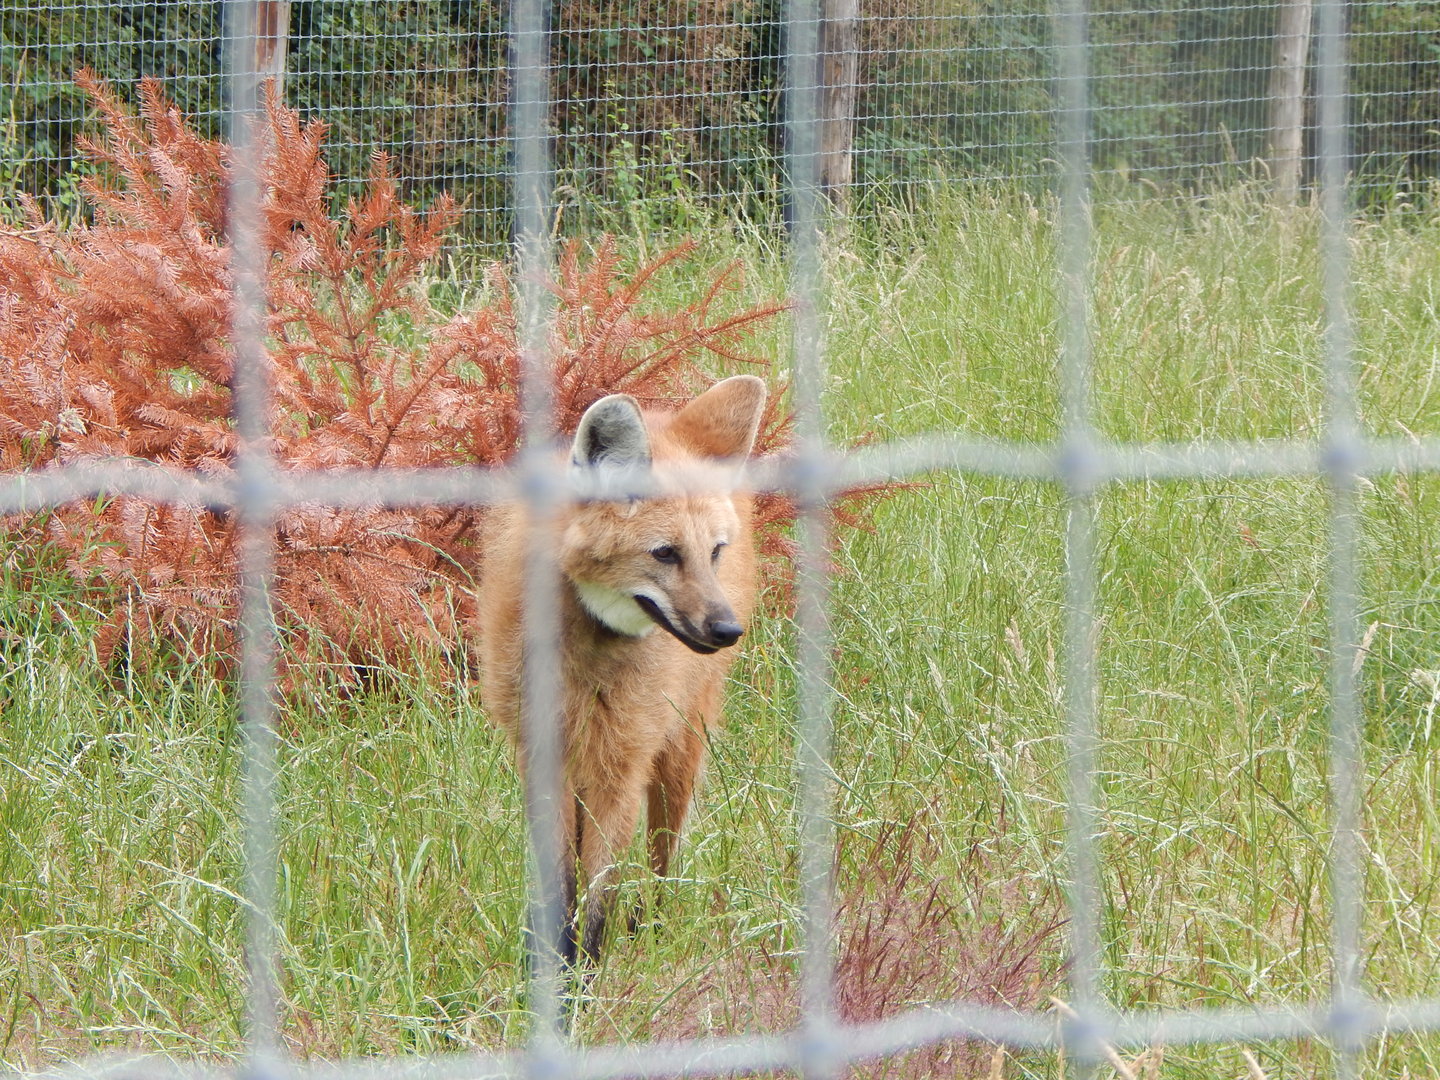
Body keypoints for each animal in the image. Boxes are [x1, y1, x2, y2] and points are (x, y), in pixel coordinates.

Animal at [479, 374, 767, 966]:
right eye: (665, 553)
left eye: (714, 552)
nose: (727, 629)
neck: (589, 657)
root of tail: (661, 414)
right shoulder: (545, 754)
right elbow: (562, 884)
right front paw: (552, 969)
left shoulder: (623, 761)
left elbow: (597, 896)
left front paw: (586, 977)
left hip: (679, 746)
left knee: (662, 859)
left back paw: (650, 929)